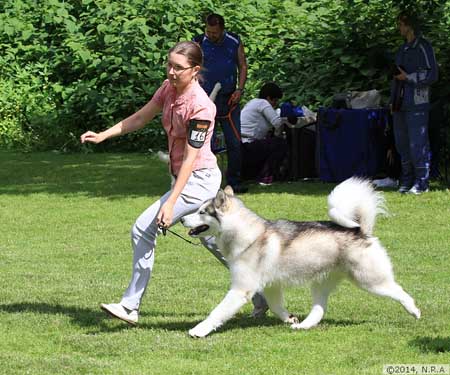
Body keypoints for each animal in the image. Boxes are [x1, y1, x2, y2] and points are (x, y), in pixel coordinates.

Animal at [181, 178, 420, 340]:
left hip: (369, 280)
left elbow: (217, 312)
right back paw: (303, 326)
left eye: (202, 212)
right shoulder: (271, 286)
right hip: (321, 283)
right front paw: (289, 318)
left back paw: (414, 311)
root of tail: (360, 230)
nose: (182, 219)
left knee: (399, 291)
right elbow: (276, 306)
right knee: (319, 309)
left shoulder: (241, 289)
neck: (248, 234)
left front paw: (198, 330)